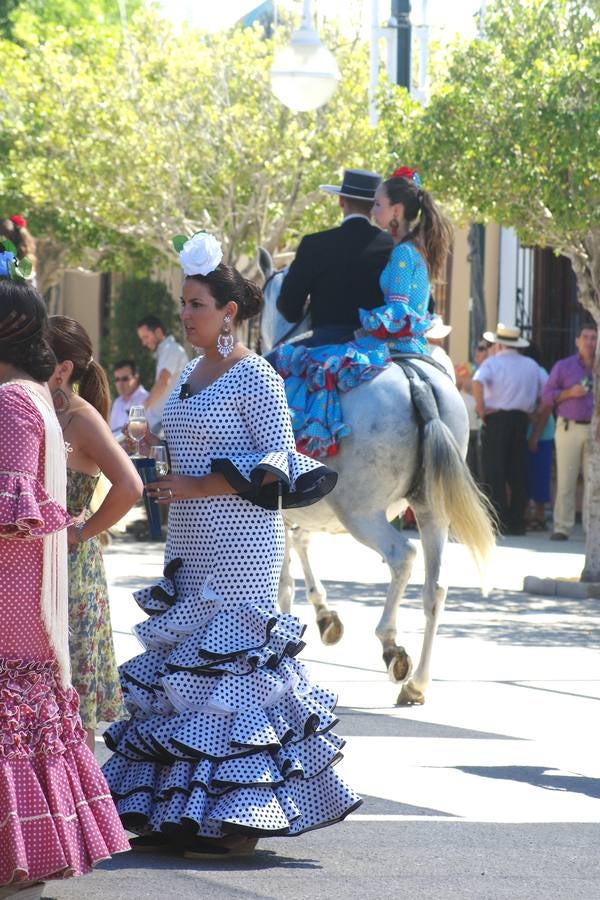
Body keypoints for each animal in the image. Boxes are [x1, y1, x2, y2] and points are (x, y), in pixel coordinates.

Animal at [258, 250, 496, 708]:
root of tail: (415, 379)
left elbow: (285, 576)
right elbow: (299, 550)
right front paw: (324, 617)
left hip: (361, 513)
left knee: (402, 555)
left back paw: (392, 647)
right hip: (431, 511)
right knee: (436, 588)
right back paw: (417, 684)